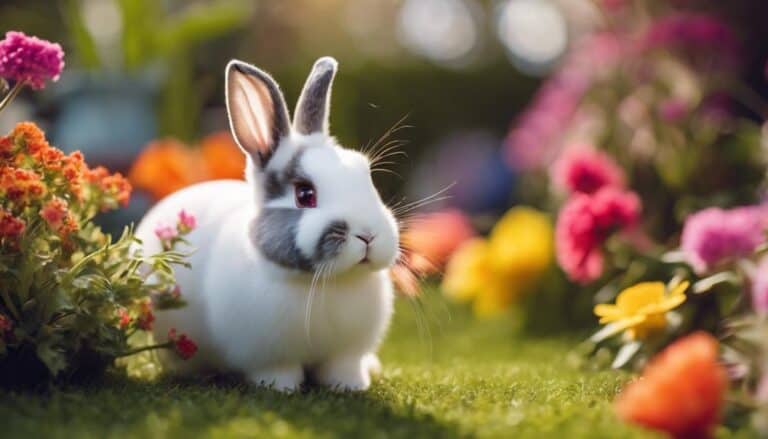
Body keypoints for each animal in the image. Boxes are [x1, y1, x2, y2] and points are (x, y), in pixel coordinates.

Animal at [134, 57, 399, 392]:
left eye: (365, 175)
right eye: (305, 194)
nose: (368, 235)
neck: (328, 282)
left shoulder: (345, 354)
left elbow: (342, 369)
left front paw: (351, 386)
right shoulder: (269, 356)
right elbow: (278, 372)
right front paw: (282, 389)